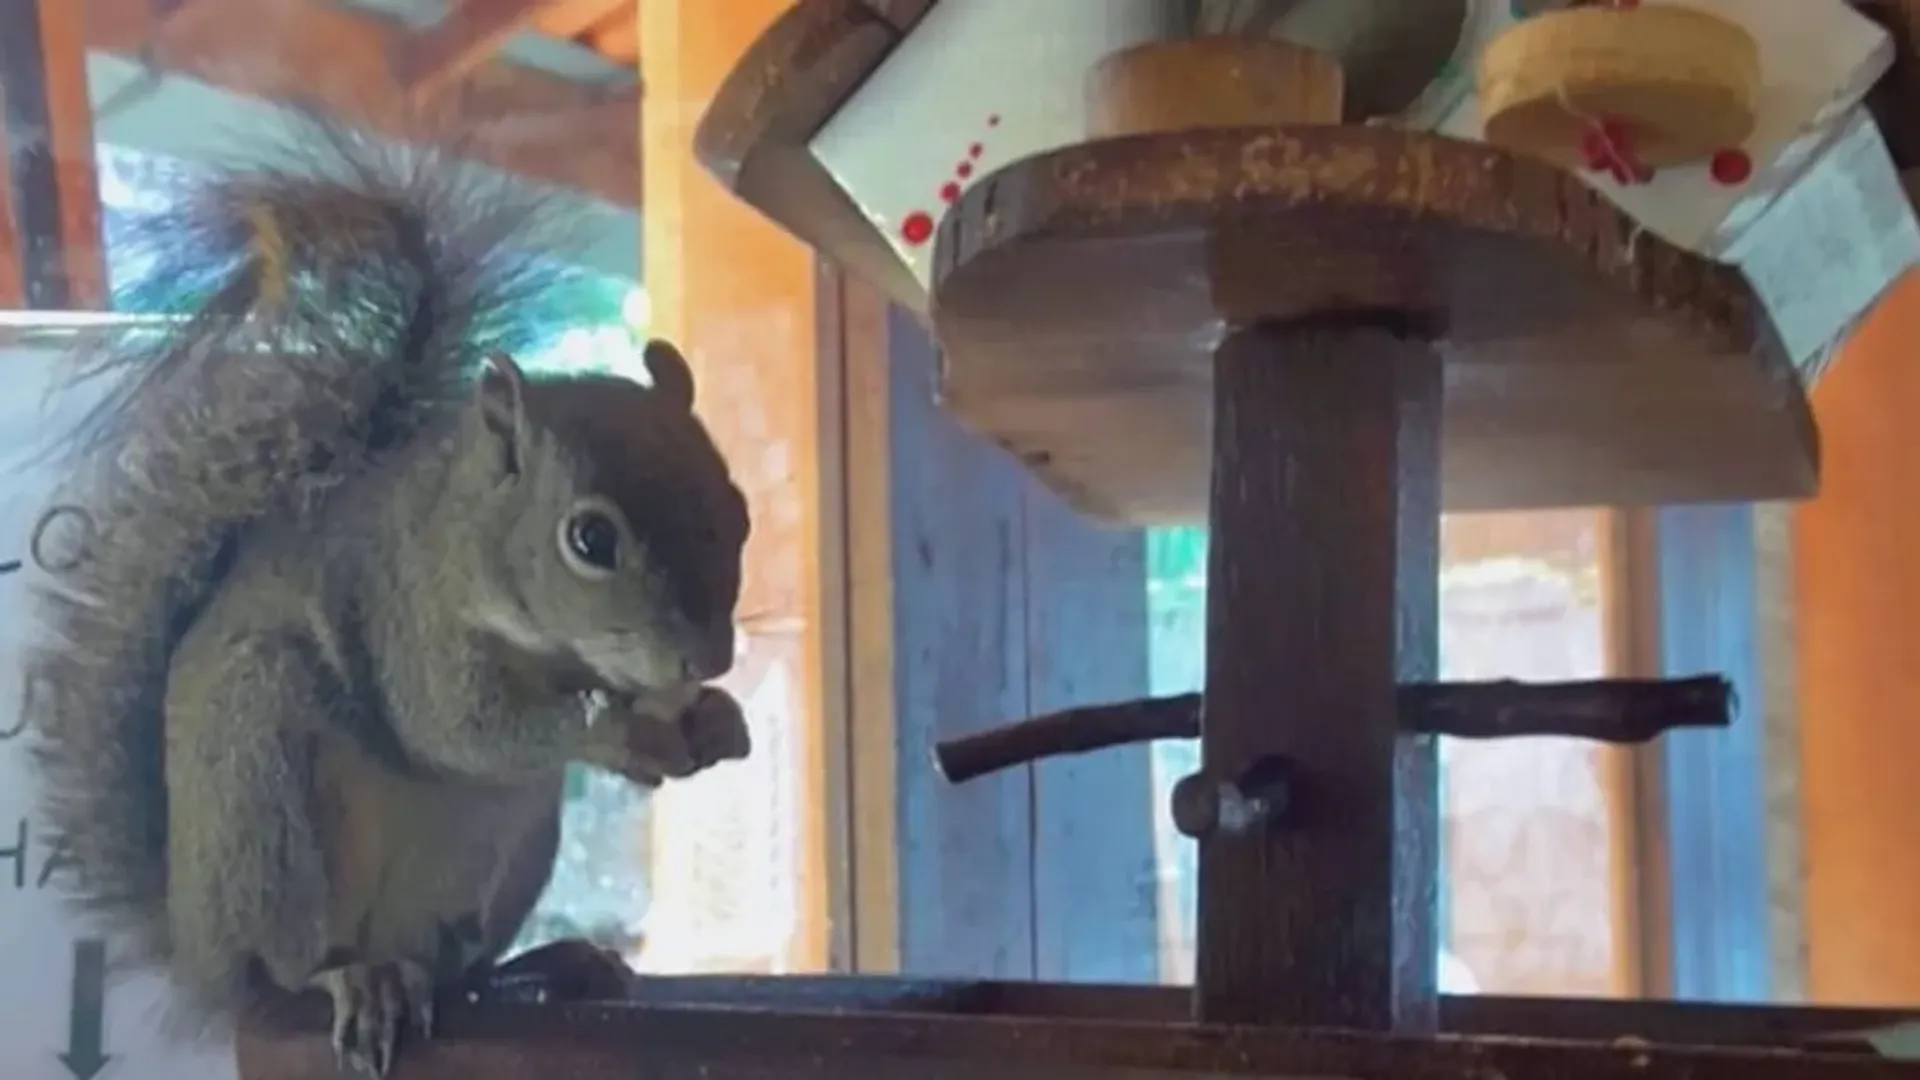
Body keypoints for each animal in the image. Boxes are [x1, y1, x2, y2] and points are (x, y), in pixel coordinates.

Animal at [26, 123, 756, 1068]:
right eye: (590, 540)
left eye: (739, 511)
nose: (706, 659)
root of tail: (197, 954)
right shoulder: (409, 622)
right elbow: (457, 726)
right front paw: (614, 730)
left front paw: (718, 722)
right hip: (267, 796)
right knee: (289, 974)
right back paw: (357, 982)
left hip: (510, 854)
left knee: (459, 972)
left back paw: (551, 963)